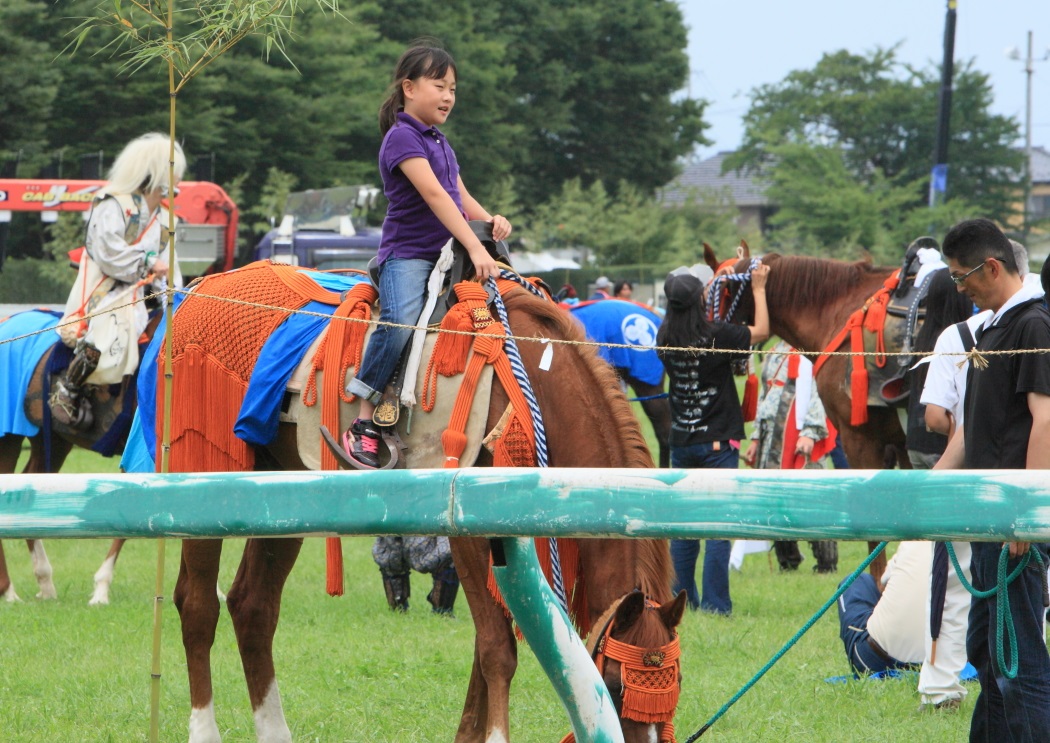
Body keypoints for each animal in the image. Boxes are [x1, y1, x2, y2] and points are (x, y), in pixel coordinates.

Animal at [153, 279, 680, 743]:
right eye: (612, 685)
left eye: (673, 693)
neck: (533, 386)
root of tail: (198, 291)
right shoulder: (471, 534)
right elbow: (497, 649)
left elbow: (484, 647)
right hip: (204, 474)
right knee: (197, 605)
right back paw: (203, 730)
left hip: (279, 491)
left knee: (253, 606)